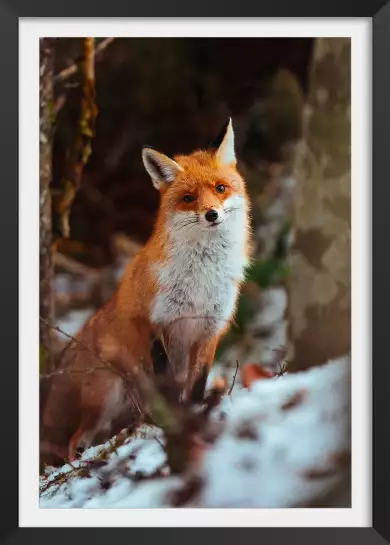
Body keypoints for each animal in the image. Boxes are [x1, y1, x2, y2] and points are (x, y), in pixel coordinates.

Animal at [40, 117, 253, 466]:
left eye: (220, 188)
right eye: (189, 198)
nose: (211, 214)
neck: (201, 280)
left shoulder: (210, 329)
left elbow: (196, 387)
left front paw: (194, 417)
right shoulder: (155, 322)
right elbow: (167, 385)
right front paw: (175, 427)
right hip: (107, 395)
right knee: (72, 442)